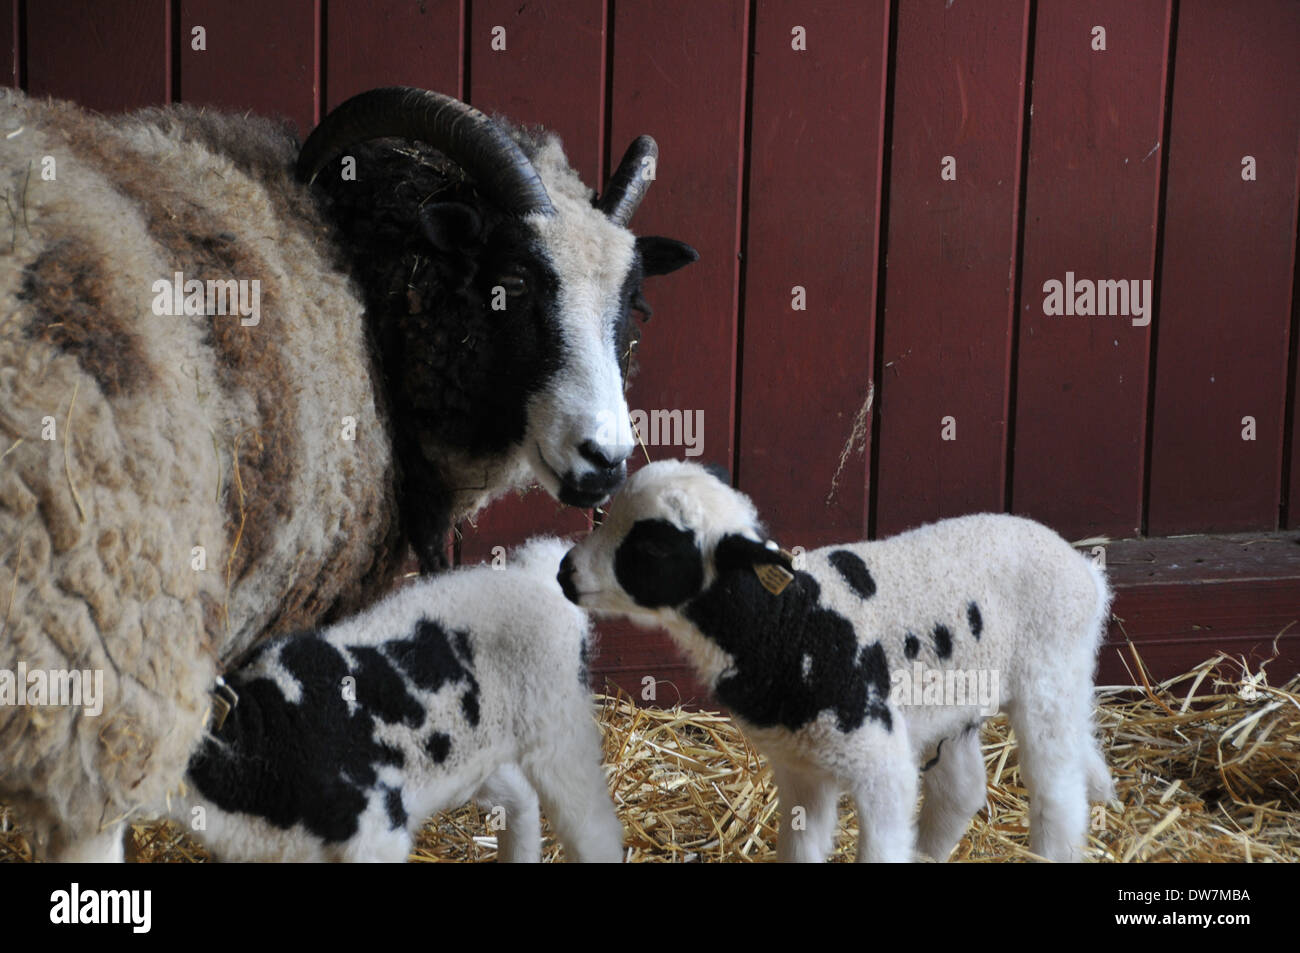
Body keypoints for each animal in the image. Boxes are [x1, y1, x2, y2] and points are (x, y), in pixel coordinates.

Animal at [159, 537, 621, 863]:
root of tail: (534, 577)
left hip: (559, 727)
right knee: (520, 799)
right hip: (473, 748)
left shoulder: (377, 834)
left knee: (594, 829)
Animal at [558, 460, 1115, 862]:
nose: (566, 572)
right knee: (961, 791)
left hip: (1052, 680)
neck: (789, 620)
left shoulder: (880, 765)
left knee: (1059, 794)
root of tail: (1085, 566)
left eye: (654, 546)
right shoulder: (801, 768)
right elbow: (801, 850)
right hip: (958, 698)